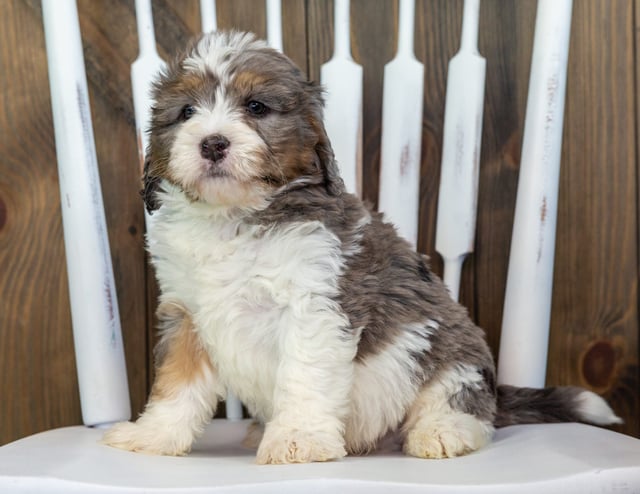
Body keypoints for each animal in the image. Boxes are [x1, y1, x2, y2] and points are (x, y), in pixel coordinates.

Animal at [102, 30, 624, 464]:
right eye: (186, 113)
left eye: (256, 107)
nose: (212, 143)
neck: (233, 217)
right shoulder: (188, 313)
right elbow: (177, 384)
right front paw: (152, 436)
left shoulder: (315, 304)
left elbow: (305, 375)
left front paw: (298, 438)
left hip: (452, 346)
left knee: (461, 399)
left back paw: (443, 431)